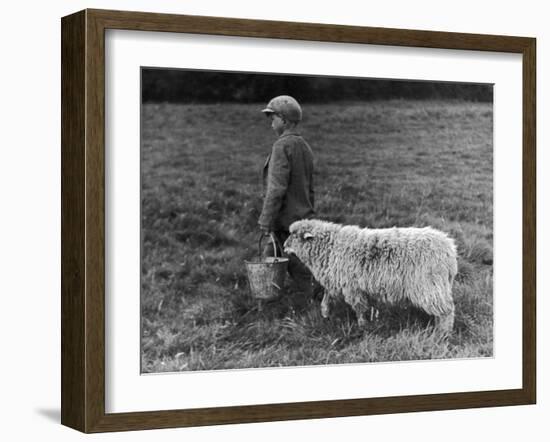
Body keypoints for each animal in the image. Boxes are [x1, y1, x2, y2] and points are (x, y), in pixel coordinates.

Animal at [282, 219, 460, 334]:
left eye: (294, 235)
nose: (283, 246)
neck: (330, 247)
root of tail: (449, 249)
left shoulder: (351, 287)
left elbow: (359, 308)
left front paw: (363, 326)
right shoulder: (336, 281)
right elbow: (327, 298)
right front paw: (325, 314)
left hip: (428, 285)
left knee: (447, 310)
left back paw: (443, 333)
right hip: (437, 285)